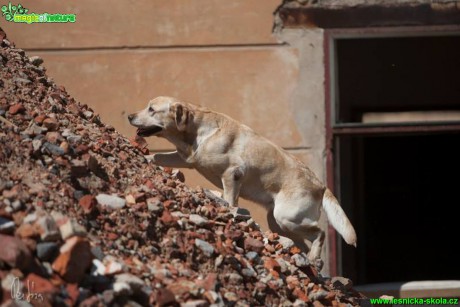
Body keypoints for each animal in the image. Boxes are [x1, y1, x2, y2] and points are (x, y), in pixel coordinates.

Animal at [127, 96, 358, 268]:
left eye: (151, 109)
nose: (129, 116)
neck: (199, 131)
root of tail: (321, 185)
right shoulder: (184, 158)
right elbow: (158, 157)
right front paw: (143, 156)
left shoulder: (232, 174)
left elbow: (230, 202)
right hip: (279, 223)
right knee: (302, 241)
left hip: (286, 217)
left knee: (320, 232)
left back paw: (313, 258)